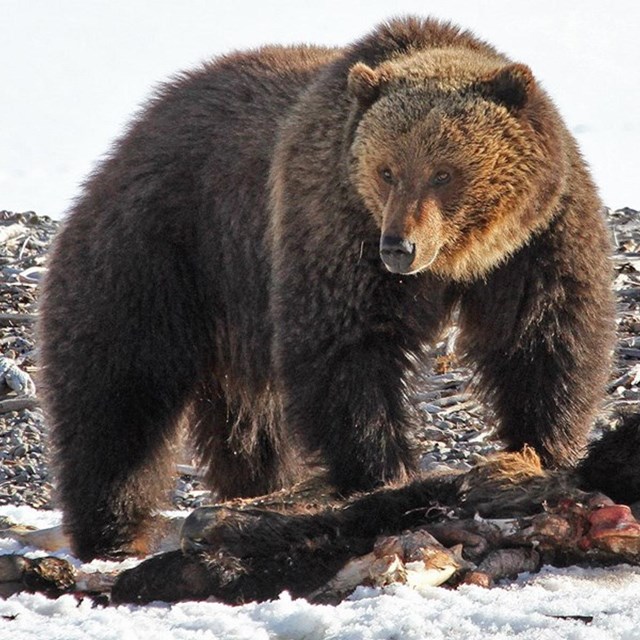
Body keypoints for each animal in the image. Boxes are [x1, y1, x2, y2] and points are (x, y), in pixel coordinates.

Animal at [38, 12, 616, 556]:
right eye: (387, 170)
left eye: (444, 173)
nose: (399, 247)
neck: (460, 261)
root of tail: (137, 128)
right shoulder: (335, 224)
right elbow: (346, 349)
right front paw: (382, 473)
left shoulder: (538, 239)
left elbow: (543, 338)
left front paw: (539, 452)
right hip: (163, 247)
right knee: (119, 390)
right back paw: (113, 530)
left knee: (249, 421)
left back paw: (255, 487)